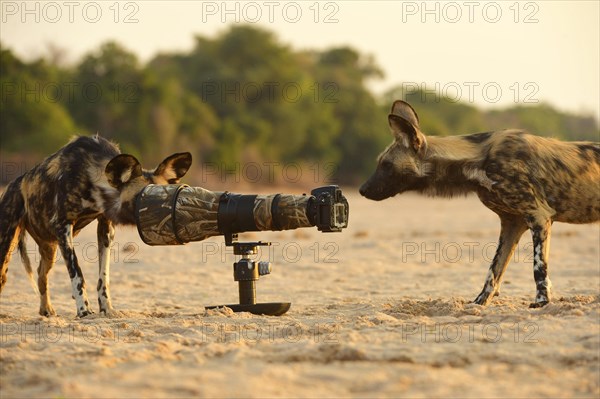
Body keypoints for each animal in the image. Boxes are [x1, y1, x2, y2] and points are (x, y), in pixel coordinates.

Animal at [0, 136, 191, 318]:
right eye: (141, 196)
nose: (164, 212)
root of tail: (13, 184)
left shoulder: (106, 228)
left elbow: (103, 278)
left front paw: (107, 309)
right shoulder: (63, 227)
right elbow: (77, 274)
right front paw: (83, 310)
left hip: (49, 248)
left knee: (41, 275)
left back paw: (46, 310)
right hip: (8, 245)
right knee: (4, 277)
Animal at [358, 101, 596, 310]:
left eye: (386, 165)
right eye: (381, 163)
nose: (362, 190)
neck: (478, 162)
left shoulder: (538, 217)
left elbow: (539, 268)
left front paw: (541, 302)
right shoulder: (513, 223)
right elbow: (493, 271)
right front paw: (479, 303)